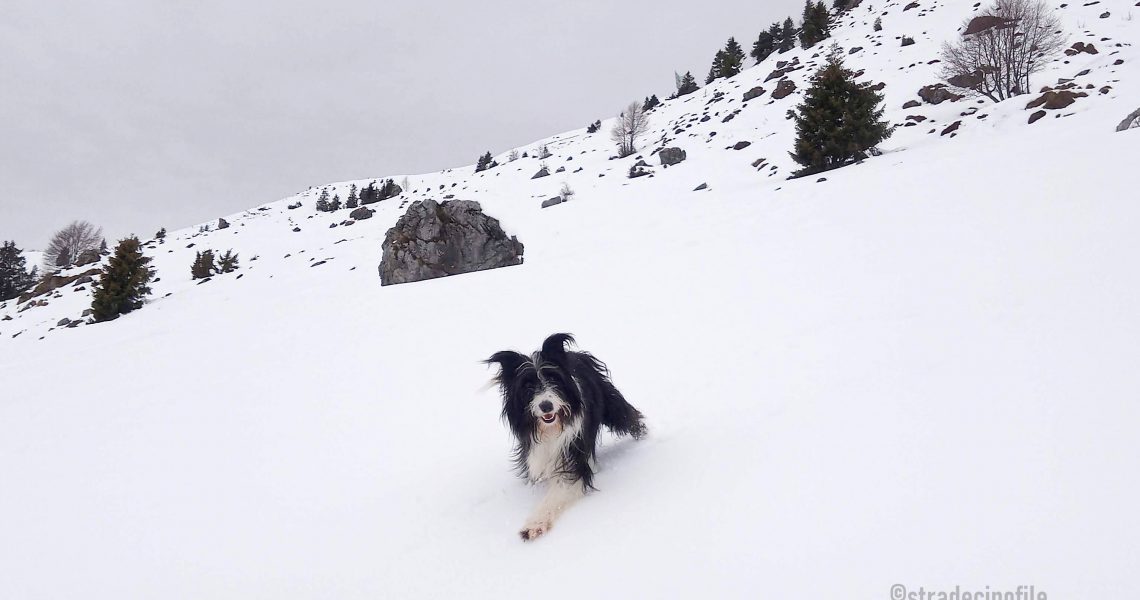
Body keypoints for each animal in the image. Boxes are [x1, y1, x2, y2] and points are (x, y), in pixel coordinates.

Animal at [483, 330, 647, 542]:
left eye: (553, 379)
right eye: (528, 387)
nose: (546, 406)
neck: (551, 430)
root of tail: (577, 354)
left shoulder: (572, 455)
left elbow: (560, 489)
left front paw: (535, 524)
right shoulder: (536, 452)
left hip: (612, 405)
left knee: (629, 417)